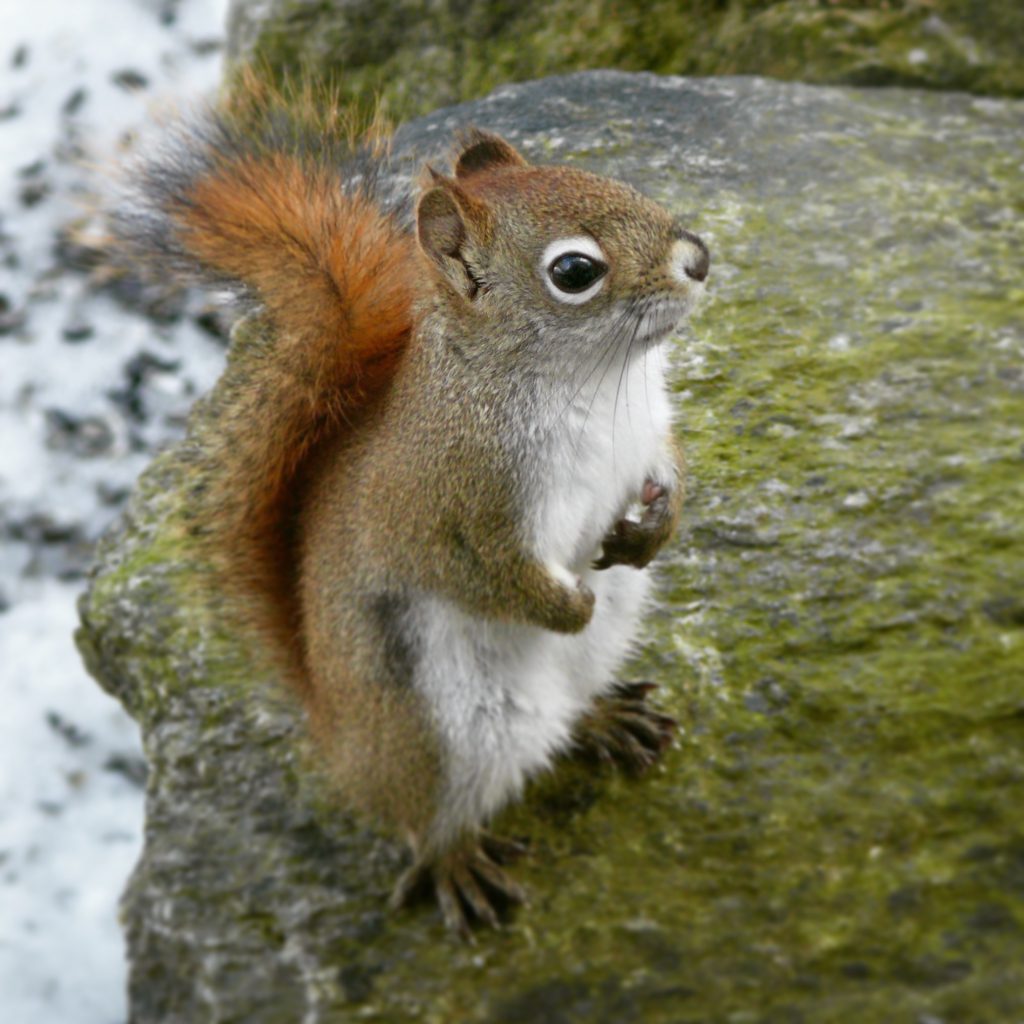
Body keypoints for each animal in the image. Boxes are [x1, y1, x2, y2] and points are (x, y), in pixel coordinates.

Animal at [110, 83, 704, 937]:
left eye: (615, 181)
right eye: (575, 271)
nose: (699, 258)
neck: (588, 384)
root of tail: (335, 736)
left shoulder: (648, 437)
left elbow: (672, 478)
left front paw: (654, 530)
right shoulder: (446, 509)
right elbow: (486, 577)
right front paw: (569, 604)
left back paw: (603, 720)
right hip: (438, 736)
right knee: (425, 818)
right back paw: (457, 865)